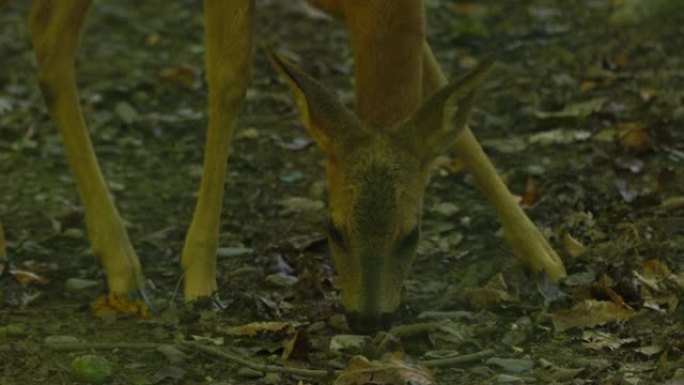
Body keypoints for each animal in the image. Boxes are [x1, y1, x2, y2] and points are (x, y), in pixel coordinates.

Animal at [1, 0, 568, 330]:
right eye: (333, 230)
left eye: (413, 235)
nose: (368, 320)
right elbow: (230, 78)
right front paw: (199, 275)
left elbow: (437, 80)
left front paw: (542, 255)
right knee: (50, 39)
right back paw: (123, 269)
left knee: (46, 39)